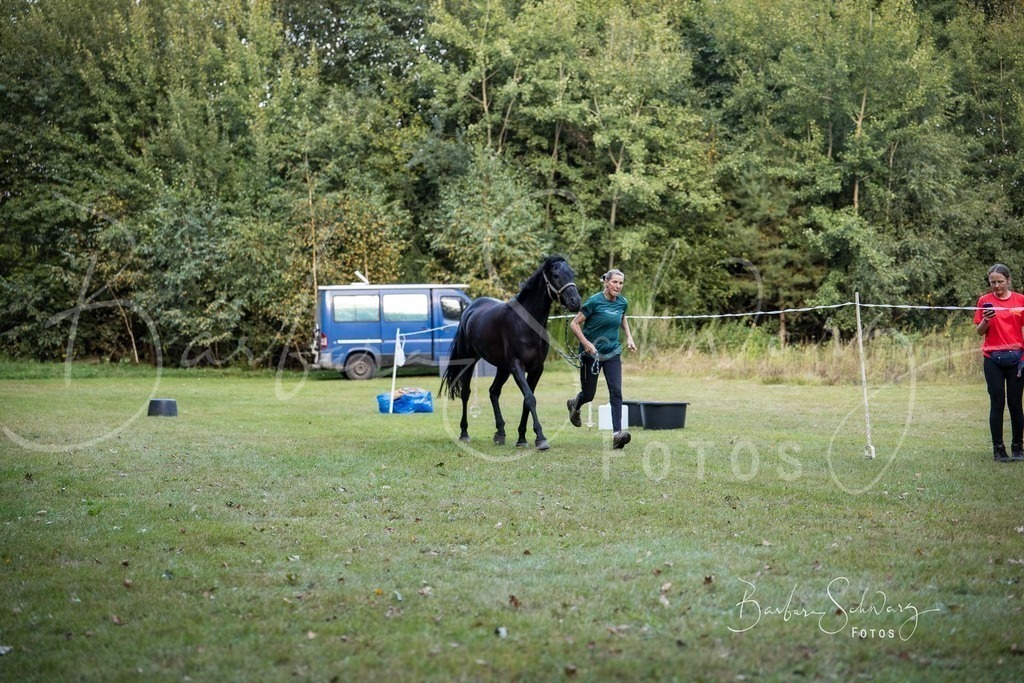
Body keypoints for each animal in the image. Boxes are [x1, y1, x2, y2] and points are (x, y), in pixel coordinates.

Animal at [440, 256, 582, 450]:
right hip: (470, 362)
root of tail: (470, 309)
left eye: (572, 273)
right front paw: (540, 438)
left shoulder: (536, 369)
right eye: (556, 275)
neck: (526, 324)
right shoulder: (517, 367)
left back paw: (500, 433)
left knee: (493, 392)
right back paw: (464, 434)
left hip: (503, 368)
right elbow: (530, 398)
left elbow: (526, 401)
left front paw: (522, 438)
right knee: (466, 393)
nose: (576, 302)